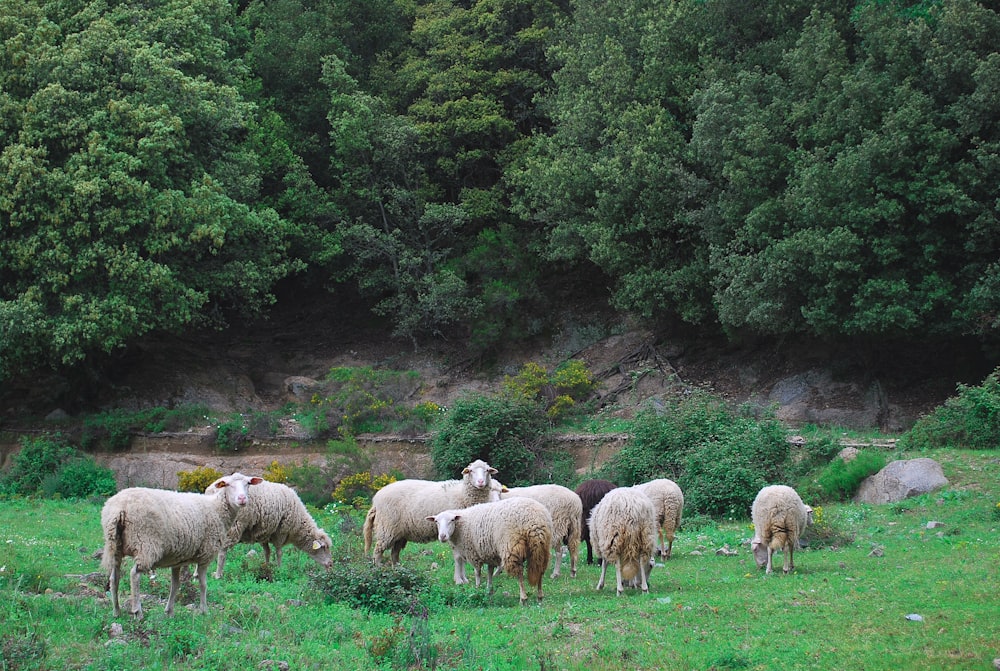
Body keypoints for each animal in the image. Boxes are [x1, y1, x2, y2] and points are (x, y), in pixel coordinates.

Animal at [100, 472, 262, 620]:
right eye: (228, 484)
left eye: (248, 484)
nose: (242, 499)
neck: (217, 509)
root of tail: (119, 508)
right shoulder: (206, 554)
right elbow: (203, 584)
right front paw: (204, 610)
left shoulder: (177, 559)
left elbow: (175, 585)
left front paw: (169, 611)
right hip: (145, 544)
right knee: (134, 575)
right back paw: (137, 612)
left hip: (115, 545)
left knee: (114, 578)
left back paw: (116, 611)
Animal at [205, 478, 334, 576]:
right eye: (324, 548)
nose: (331, 565)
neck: (298, 525)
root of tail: (212, 490)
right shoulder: (281, 531)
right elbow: (279, 552)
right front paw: (279, 569)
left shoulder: (264, 532)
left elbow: (267, 552)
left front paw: (267, 567)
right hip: (234, 525)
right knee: (222, 551)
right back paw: (218, 574)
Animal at [362, 460, 498, 564]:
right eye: (471, 471)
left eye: (487, 470)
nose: (480, 482)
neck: (462, 493)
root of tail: (376, 499)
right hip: (387, 527)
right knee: (378, 550)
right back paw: (379, 567)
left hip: (399, 532)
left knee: (394, 553)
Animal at [424, 496, 552, 608]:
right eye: (436, 521)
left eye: (452, 520)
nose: (442, 536)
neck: (460, 527)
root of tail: (535, 519)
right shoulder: (490, 554)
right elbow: (489, 572)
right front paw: (489, 590)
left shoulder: (473, 553)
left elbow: (477, 572)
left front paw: (477, 589)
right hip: (542, 547)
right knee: (540, 569)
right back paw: (540, 596)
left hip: (511, 545)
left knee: (519, 573)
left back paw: (523, 598)